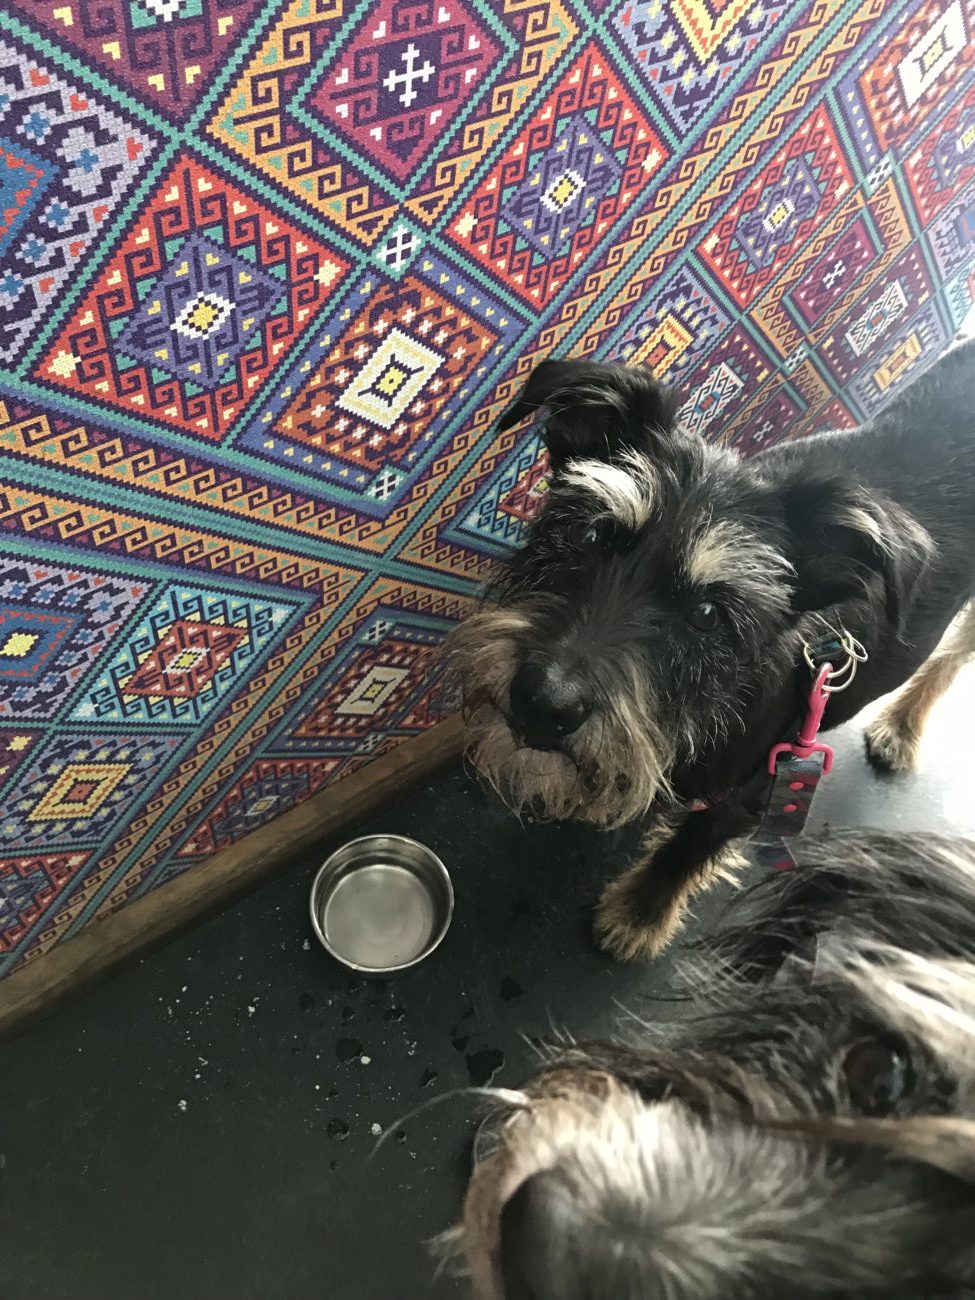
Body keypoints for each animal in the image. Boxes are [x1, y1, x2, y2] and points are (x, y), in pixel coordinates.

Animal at [446, 341, 975, 961]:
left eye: (707, 615)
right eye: (590, 535)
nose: (542, 702)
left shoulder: (766, 784)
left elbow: (690, 847)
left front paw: (638, 914)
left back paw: (902, 725)